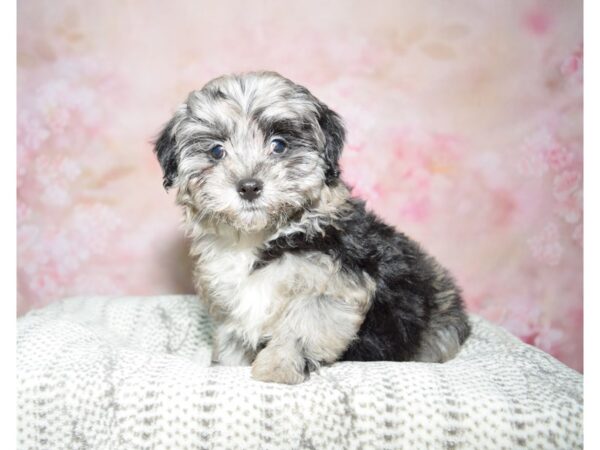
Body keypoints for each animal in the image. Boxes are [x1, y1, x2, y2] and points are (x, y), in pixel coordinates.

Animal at [152, 70, 472, 384]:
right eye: (217, 151)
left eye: (279, 145)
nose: (249, 187)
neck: (261, 235)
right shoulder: (227, 301)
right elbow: (231, 338)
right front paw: (226, 366)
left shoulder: (329, 287)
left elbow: (299, 328)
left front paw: (277, 369)